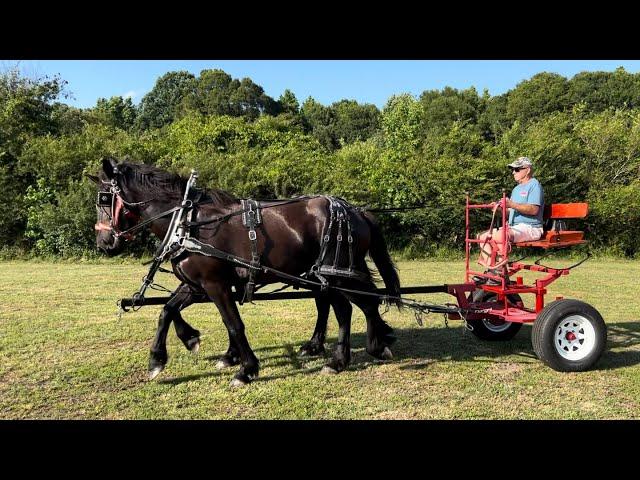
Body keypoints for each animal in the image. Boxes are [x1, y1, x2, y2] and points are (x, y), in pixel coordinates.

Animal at [90, 158, 400, 386]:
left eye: (104, 198)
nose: (104, 243)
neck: (187, 222)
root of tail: (356, 211)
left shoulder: (214, 284)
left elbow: (233, 324)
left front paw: (246, 369)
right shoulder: (196, 285)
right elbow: (167, 311)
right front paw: (167, 354)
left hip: (336, 273)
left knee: (356, 305)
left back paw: (355, 353)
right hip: (328, 274)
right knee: (350, 306)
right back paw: (351, 351)